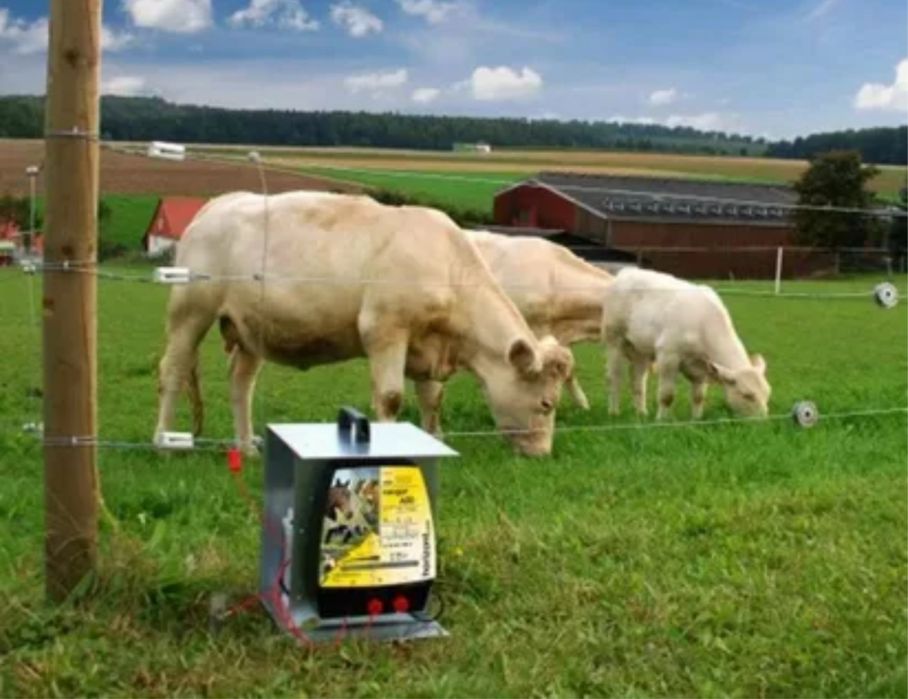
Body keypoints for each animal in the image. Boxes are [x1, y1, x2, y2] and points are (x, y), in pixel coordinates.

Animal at [152, 191, 574, 457]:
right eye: (547, 403)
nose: (543, 452)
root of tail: (218, 204)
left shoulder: (429, 345)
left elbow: (431, 400)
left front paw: (435, 439)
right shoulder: (385, 331)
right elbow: (391, 399)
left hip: (251, 329)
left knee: (241, 383)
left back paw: (246, 445)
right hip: (190, 311)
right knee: (173, 370)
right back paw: (163, 443)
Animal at [602, 268, 770, 419]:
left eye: (767, 393)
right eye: (747, 395)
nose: (763, 421)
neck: (703, 322)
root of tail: (628, 271)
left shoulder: (701, 367)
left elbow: (699, 396)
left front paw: (696, 419)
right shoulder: (668, 356)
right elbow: (667, 395)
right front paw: (661, 420)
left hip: (641, 349)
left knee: (638, 379)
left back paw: (641, 413)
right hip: (614, 338)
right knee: (614, 376)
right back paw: (614, 412)